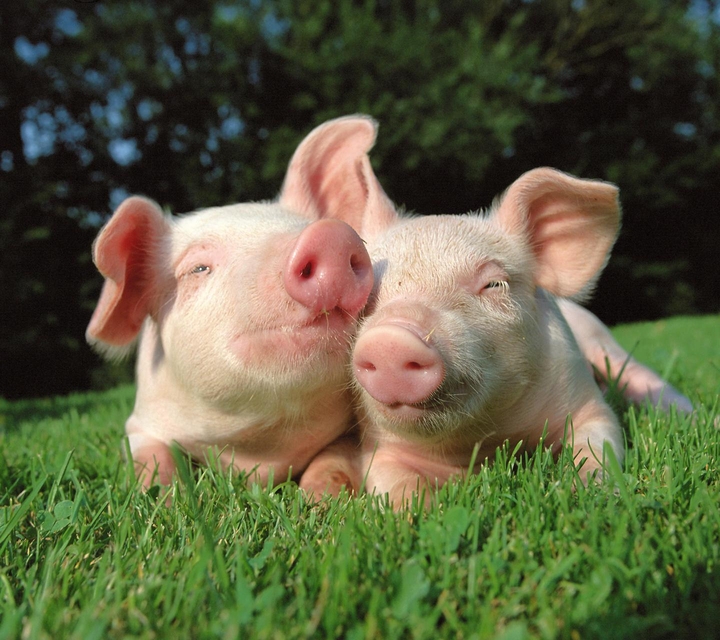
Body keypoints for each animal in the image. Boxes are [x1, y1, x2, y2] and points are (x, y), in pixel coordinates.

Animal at [86, 116, 391, 488]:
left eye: (310, 226)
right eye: (198, 268)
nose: (330, 235)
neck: (257, 451)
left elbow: (332, 459)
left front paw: (320, 496)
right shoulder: (140, 422)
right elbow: (151, 457)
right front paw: (159, 493)